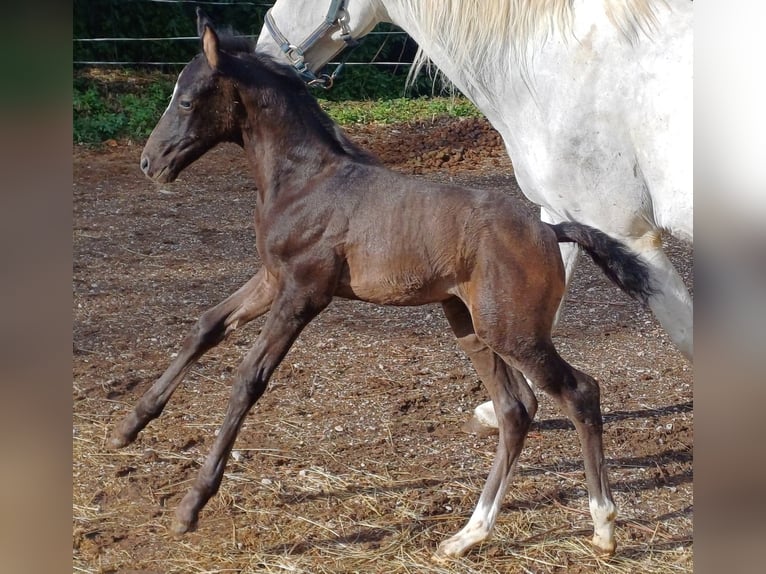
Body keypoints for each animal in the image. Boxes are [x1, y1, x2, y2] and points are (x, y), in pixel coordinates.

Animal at [109, 10, 654, 560]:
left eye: (186, 100)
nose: (150, 163)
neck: (306, 181)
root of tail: (550, 229)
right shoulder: (271, 278)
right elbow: (206, 326)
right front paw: (129, 426)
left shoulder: (303, 292)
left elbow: (248, 379)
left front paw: (191, 504)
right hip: (469, 325)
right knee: (516, 409)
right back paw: (467, 535)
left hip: (512, 331)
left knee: (580, 392)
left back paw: (603, 527)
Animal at [255, 0, 693, 430]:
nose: (264, 52)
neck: (561, 64)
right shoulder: (562, 215)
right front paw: (494, 413)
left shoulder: (627, 234)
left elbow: (686, 335)